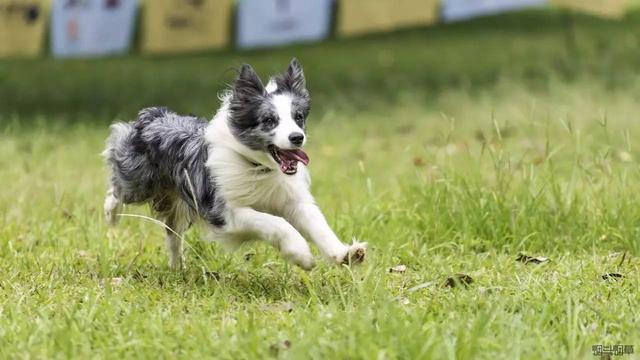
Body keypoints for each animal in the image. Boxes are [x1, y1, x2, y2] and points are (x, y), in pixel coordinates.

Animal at [104, 58, 364, 270]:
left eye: (298, 117)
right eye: (269, 120)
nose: (297, 137)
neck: (257, 167)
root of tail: (156, 114)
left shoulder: (291, 200)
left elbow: (318, 225)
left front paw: (345, 254)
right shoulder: (227, 212)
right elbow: (276, 223)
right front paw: (301, 255)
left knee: (172, 235)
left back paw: (178, 268)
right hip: (137, 179)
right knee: (118, 182)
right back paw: (111, 214)